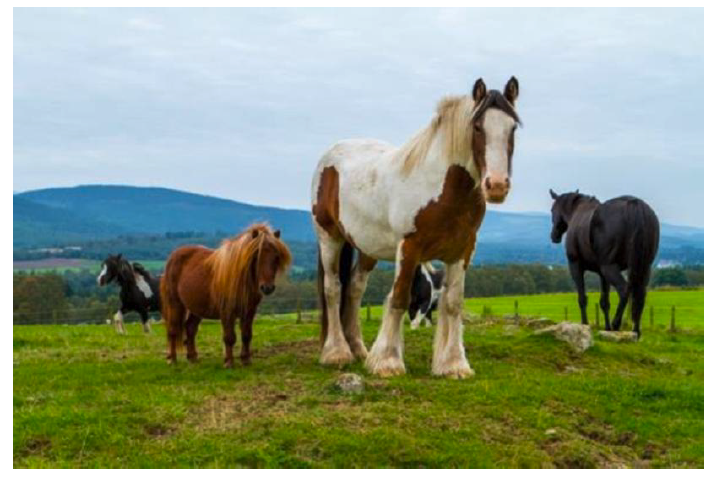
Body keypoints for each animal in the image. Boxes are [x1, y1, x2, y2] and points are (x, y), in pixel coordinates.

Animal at [161, 224, 292, 367]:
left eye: (277, 257)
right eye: (256, 255)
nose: (267, 288)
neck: (240, 279)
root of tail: (173, 255)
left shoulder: (249, 311)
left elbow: (246, 335)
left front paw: (246, 360)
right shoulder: (227, 311)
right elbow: (229, 337)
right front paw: (229, 362)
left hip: (196, 307)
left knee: (190, 328)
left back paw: (193, 357)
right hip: (175, 303)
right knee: (173, 330)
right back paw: (172, 359)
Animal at [312, 76, 521, 377]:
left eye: (512, 127)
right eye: (477, 127)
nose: (496, 186)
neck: (441, 189)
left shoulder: (462, 251)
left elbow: (453, 303)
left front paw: (453, 364)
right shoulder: (409, 248)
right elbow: (398, 298)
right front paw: (387, 362)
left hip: (367, 248)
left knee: (354, 288)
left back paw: (359, 349)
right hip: (329, 236)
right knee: (333, 288)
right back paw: (337, 353)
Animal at [549, 190, 660, 337]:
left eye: (552, 210)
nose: (554, 236)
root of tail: (634, 204)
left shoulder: (576, 266)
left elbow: (582, 298)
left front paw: (585, 325)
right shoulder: (602, 274)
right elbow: (604, 302)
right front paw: (606, 328)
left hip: (610, 267)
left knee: (624, 290)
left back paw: (616, 323)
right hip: (644, 268)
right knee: (640, 294)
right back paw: (635, 331)